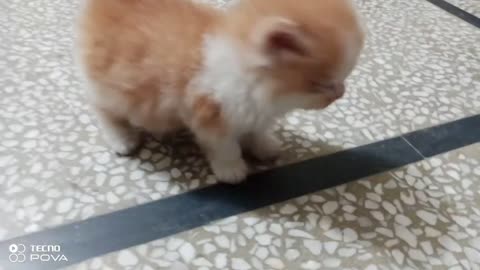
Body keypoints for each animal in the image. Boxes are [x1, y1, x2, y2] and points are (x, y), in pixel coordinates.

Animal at [77, 0, 366, 185]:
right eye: (323, 83)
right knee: (103, 110)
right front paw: (232, 170)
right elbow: (225, 147)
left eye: (342, 79)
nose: (341, 92)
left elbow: (256, 131)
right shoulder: (211, 115)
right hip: (114, 89)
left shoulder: (255, 111)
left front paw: (265, 146)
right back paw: (122, 139)